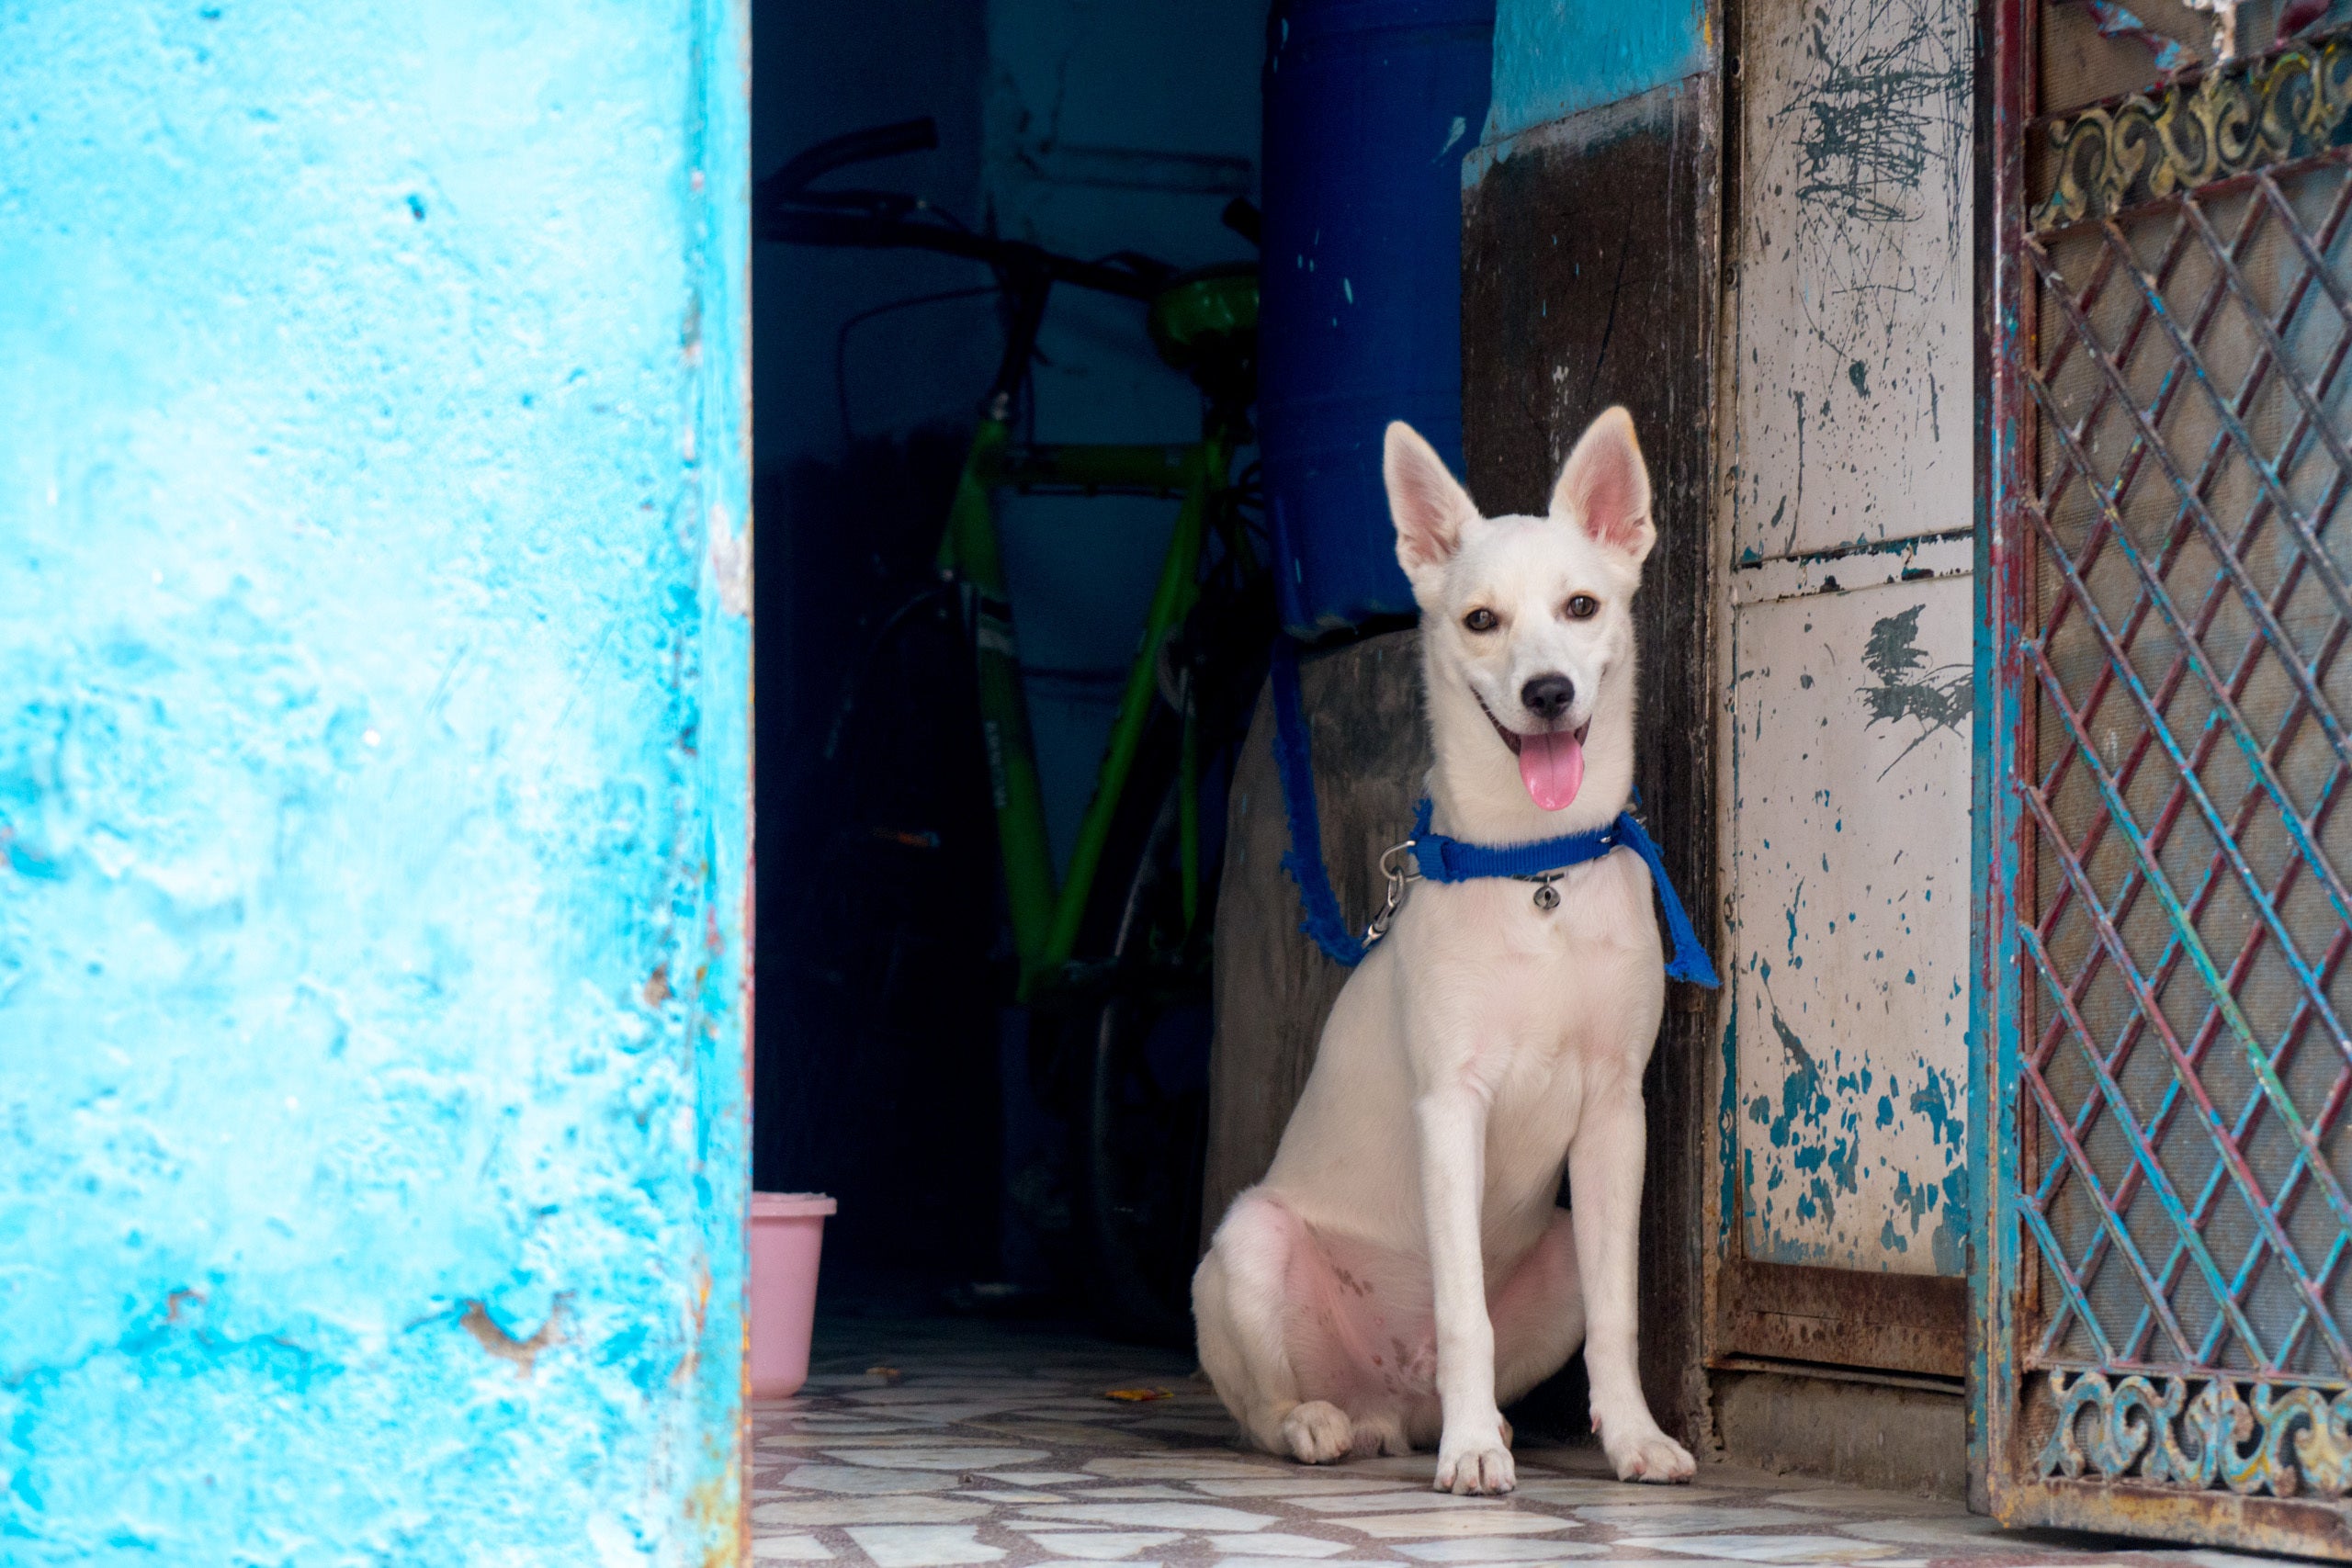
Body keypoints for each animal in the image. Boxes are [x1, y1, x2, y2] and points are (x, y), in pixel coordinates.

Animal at [1192, 407, 1695, 1495]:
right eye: (1479, 621)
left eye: (1581, 606)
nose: (1547, 692)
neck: (1535, 871)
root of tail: (1388, 1396)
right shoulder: (1451, 1108)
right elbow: (1463, 1310)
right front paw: (1472, 1460)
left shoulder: (1614, 1117)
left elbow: (1620, 1314)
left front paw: (1634, 1439)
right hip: (1247, 1244)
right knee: (1257, 1412)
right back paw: (1335, 1425)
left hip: (1555, 1248)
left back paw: (1480, 1422)